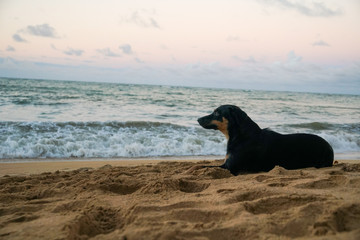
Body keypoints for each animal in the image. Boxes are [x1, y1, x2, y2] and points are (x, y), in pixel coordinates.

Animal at [198, 105, 334, 174]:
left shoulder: (229, 166)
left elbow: (203, 166)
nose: (198, 119)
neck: (241, 136)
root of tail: (330, 147)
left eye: (217, 113)